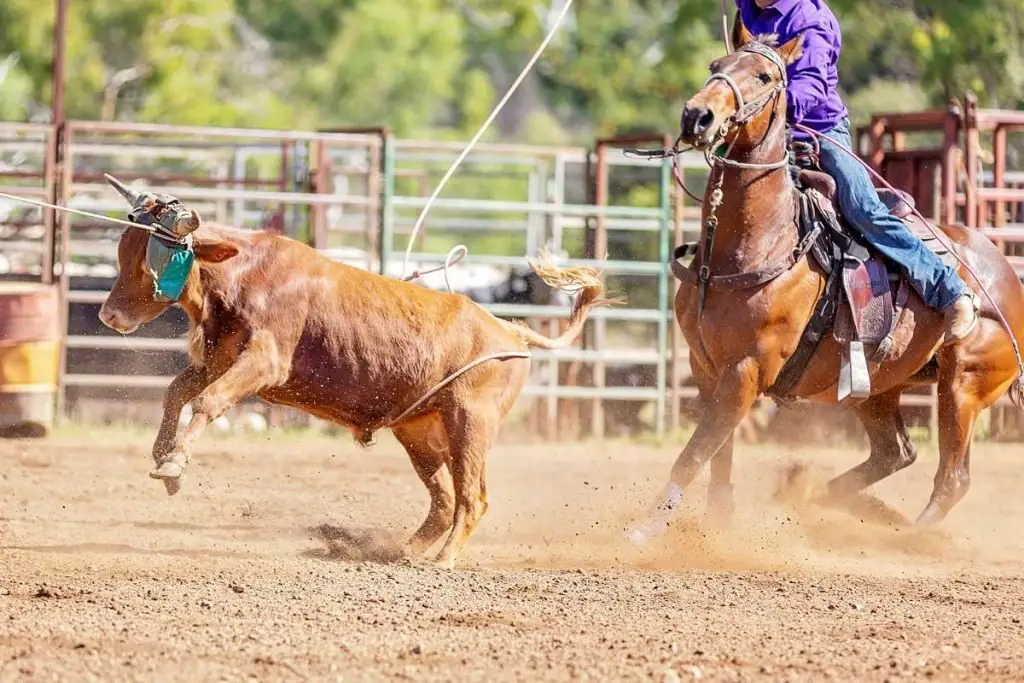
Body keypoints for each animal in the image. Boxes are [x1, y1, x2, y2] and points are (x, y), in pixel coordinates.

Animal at [96, 179, 610, 569]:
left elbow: (206, 400)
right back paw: (401, 551)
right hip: (420, 431)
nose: (108, 315)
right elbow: (176, 392)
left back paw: (443, 560)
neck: (243, 273)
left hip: (471, 423)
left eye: (150, 258)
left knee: (472, 499)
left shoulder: (263, 361)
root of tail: (510, 331)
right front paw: (164, 455)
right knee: (444, 501)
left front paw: (175, 464)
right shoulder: (222, 358)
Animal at [622, 26, 1024, 540]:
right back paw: (815, 499)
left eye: (765, 75)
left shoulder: (746, 371)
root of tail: (1005, 274)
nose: (698, 116)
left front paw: (645, 531)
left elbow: (695, 453)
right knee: (895, 453)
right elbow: (718, 456)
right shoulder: (707, 367)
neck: (759, 243)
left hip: (963, 385)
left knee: (951, 478)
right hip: (877, 387)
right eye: (716, 65)